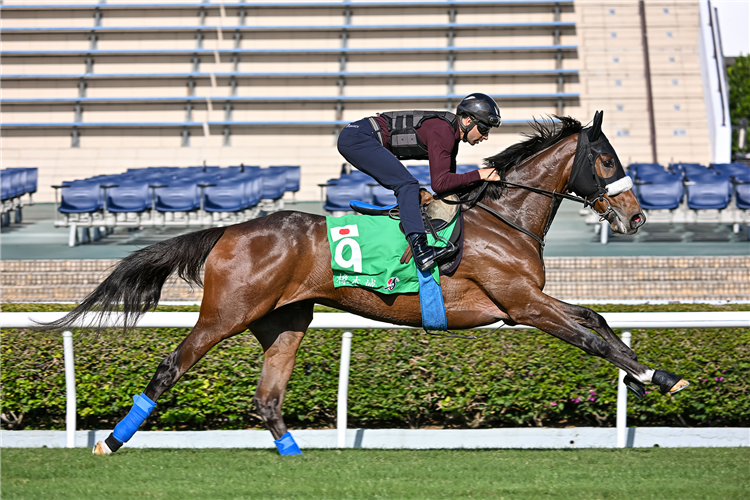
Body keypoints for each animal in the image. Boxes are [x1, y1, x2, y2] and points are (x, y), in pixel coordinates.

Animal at [45, 111, 692, 456]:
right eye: (606, 160)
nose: (636, 218)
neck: (502, 216)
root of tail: (232, 228)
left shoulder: (526, 301)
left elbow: (598, 320)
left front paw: (650, 377)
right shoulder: (522, 302)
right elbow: (587, 336)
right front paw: (655, 377)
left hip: (284, 320)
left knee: (267, 397)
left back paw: (298, 456)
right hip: (226, 313)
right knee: (171, 366)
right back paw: (109, 443)